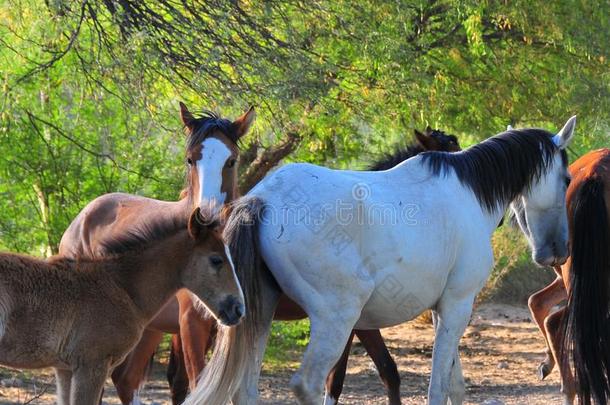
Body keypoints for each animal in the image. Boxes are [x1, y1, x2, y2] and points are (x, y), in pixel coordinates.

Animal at [189, 115, 576, 402]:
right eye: (566, 178)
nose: (558, 251)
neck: (469, 191)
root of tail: (264, 199)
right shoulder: (457, 305)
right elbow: (438, 388)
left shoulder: (443, 311)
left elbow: (454, 386)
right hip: (337, 318)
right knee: (308, 384)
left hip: (261, 314)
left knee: (245, 390)